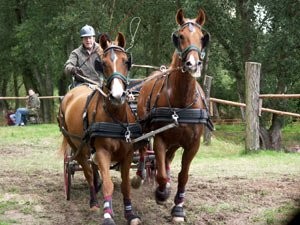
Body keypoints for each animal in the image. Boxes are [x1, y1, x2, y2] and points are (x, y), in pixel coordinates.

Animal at [59, 32, 143, 225]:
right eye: (103, 63)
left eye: (126, 61)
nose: (117, 96)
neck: (116, 117)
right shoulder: (103, 152)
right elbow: (108, 184)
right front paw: (108, 215)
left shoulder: (127, 154)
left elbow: (125, 185)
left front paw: (130, 214)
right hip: (77, 148)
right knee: (87, 172)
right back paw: (93, 202)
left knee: (92, 168)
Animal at [137, 8, 212, 221]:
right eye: (180, 36)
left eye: (202, 37)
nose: (193, 64)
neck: (181, 101)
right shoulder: (160, 138)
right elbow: (160, 172)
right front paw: (161, 193)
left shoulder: (193, 145)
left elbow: (183, 175)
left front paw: (178, 208)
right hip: (144, 130)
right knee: (143, 152)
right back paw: (140, 176)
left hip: (176, 142)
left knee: (168, 160)